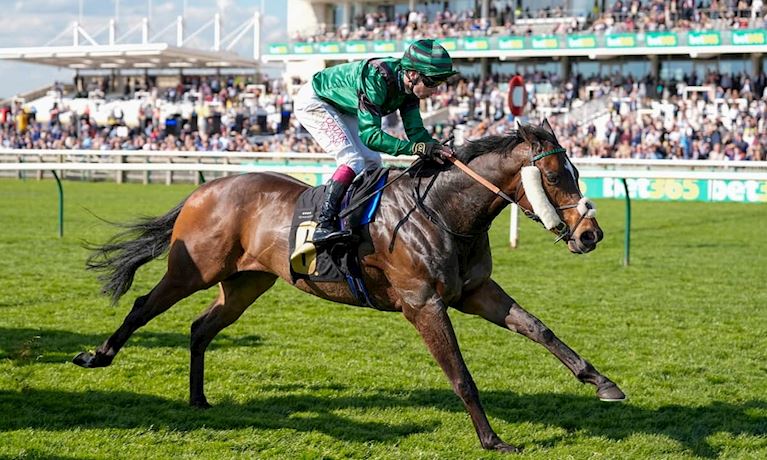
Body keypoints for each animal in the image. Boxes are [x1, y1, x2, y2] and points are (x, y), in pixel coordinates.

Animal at [74, 120, 625, 453]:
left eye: (577, 171)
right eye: (553, 176)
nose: (590, 234)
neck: (443, 213)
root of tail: (204, 188)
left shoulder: (474, 292)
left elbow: (540, 329)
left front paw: (603, 384)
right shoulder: (424, 304)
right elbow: (462, 376)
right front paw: (492, 440)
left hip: (247, 282)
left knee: (200, 327)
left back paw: (198, 399)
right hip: (193, 268)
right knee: (144, 305)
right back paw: (97, 355)